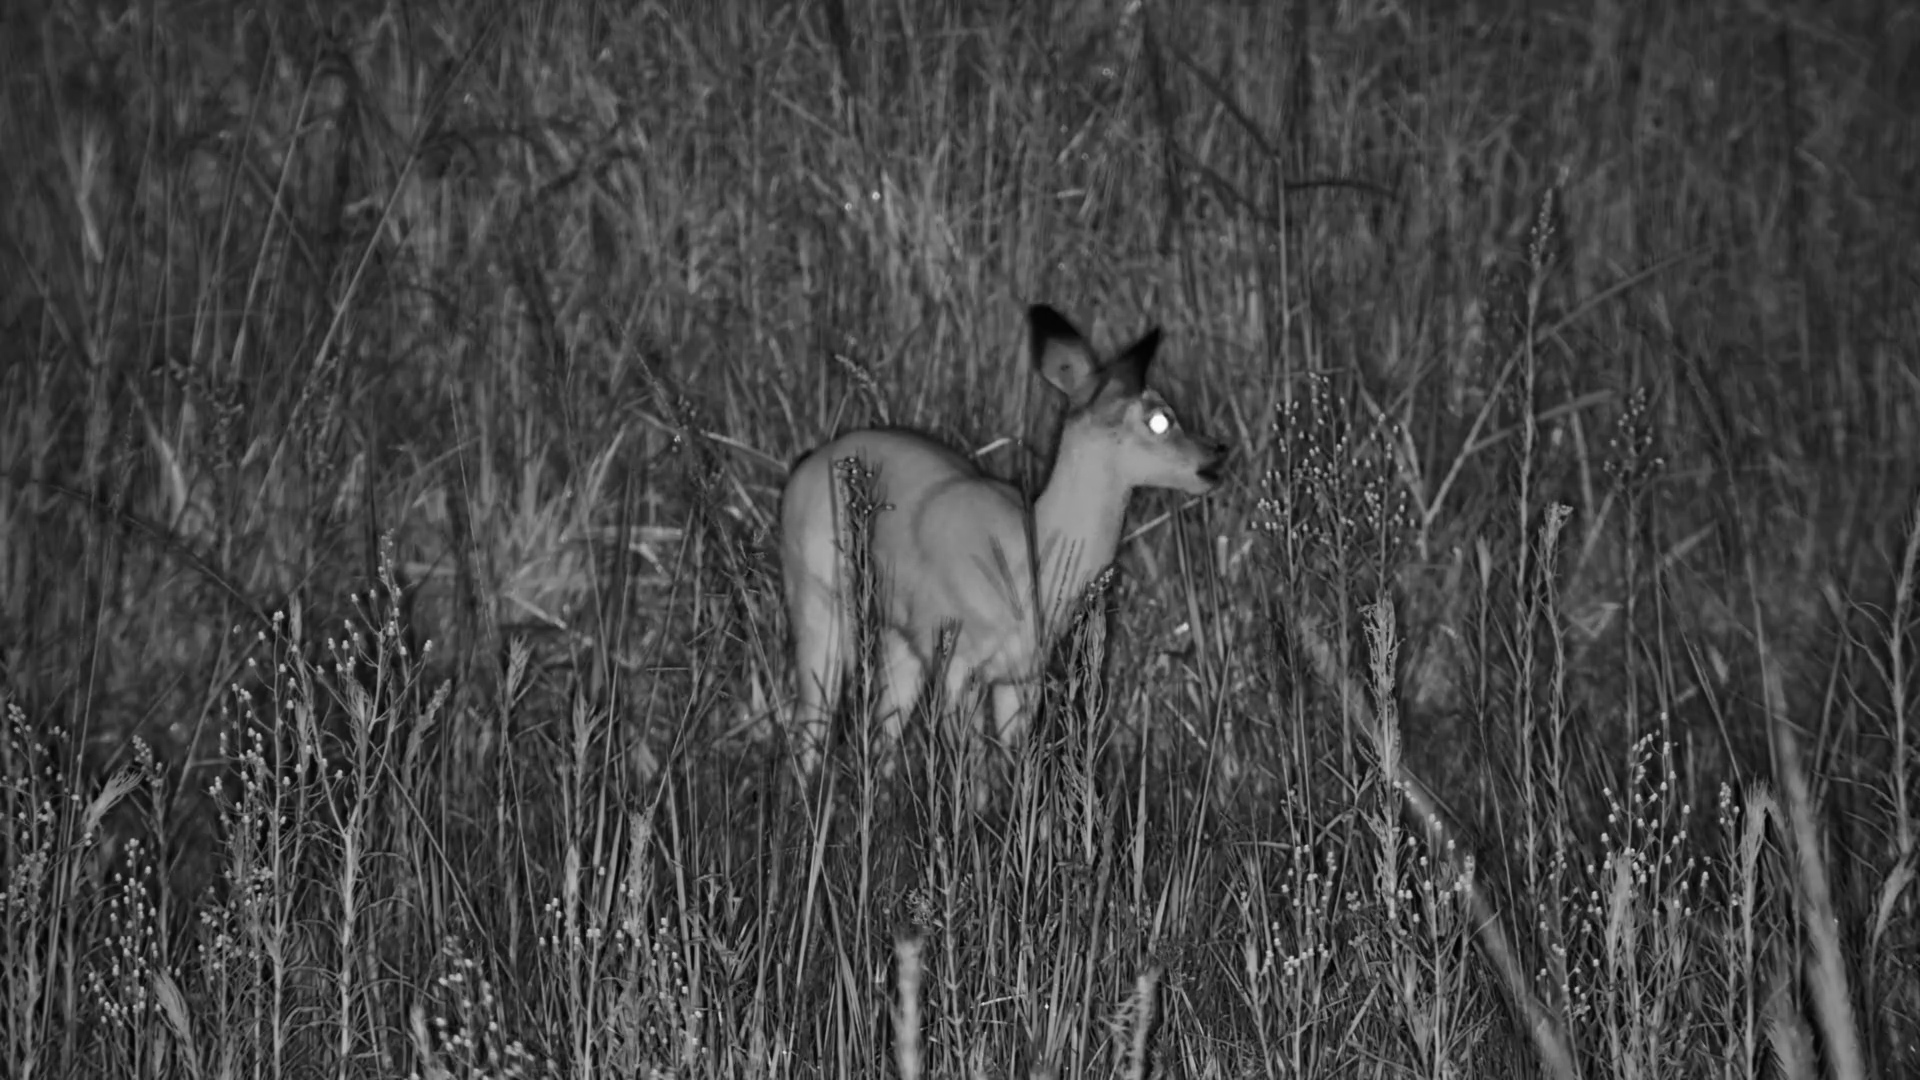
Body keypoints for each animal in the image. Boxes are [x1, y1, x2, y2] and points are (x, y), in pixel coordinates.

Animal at [778, 304, 1227, 773]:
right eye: (1159, 419)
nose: (1217, 451)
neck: (1032, 555)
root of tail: (807, 465)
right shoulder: (959, 667)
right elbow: (971, 767)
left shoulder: (1021, 676)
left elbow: (1015, 762)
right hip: (818, 603)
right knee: (812, 719)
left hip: (900, 639)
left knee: (881, 730)